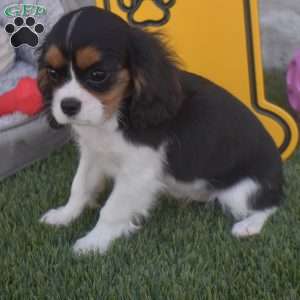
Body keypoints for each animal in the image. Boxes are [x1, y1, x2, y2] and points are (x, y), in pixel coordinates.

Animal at [38, 5, 284, 254]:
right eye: (52, 73)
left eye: (98, 75)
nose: (68, 105)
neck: (115, 115)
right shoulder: (93, 153)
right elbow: (79, 185)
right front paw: (64, 215)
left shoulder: (137, 172)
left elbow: (112, 209)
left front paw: (94, 242)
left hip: (242, 192)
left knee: (271, 204)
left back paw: (248, 226)